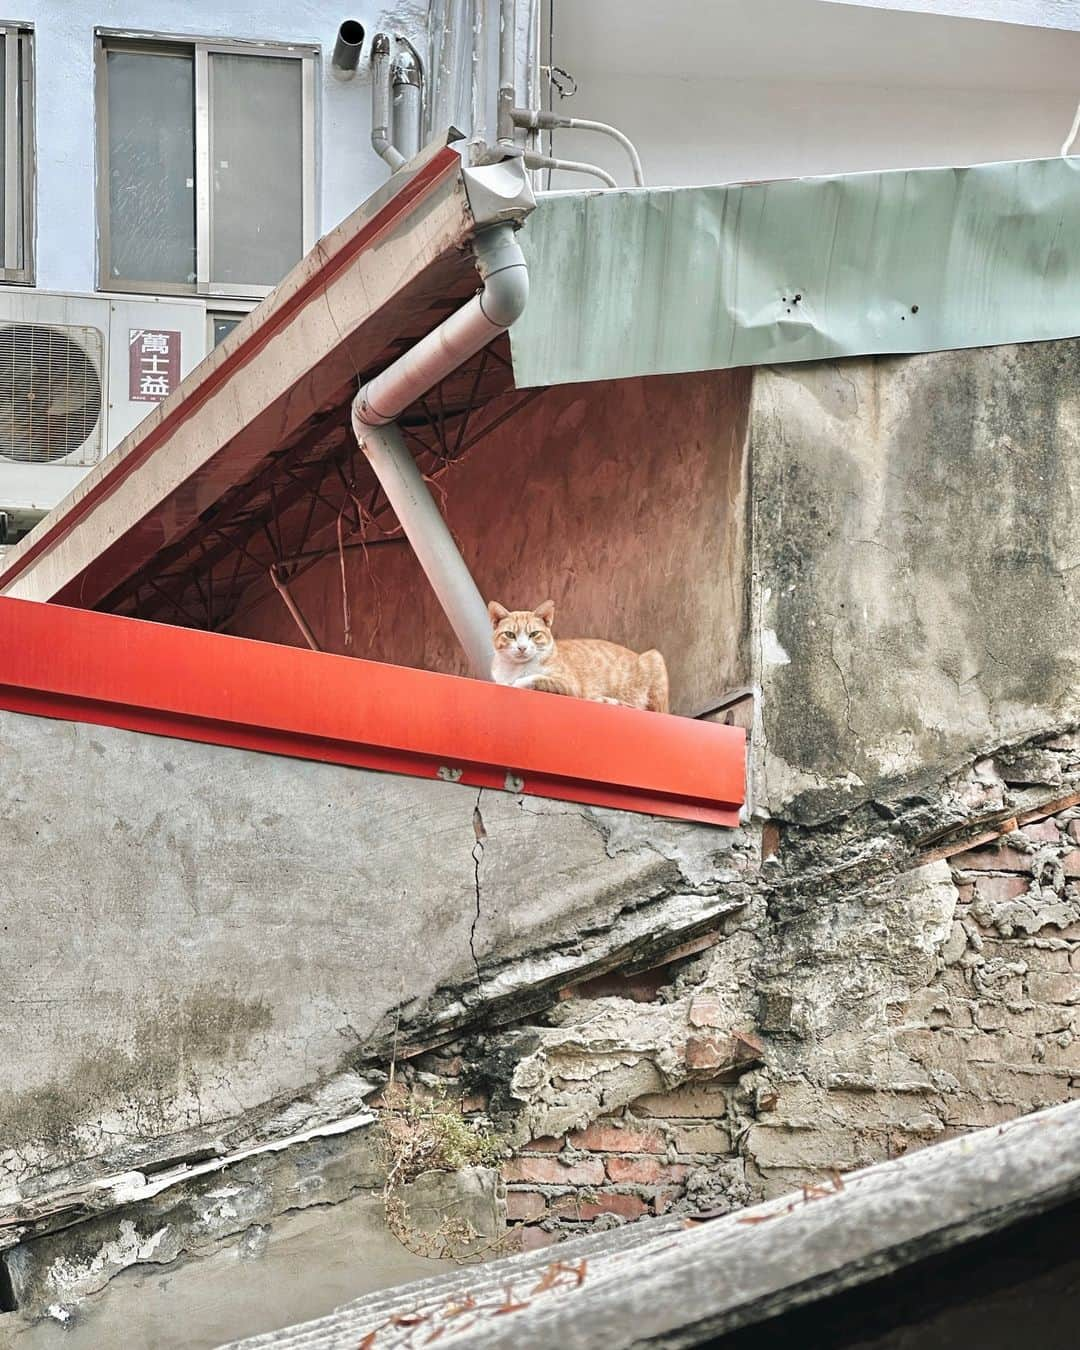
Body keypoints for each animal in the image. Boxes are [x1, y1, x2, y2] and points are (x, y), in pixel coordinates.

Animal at [488, 596, 666, 712]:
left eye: (534, 634)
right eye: (510, 634)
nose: (522, 648)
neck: (515, 668)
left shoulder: (569, 685)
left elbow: (534, 678)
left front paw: (516, 683)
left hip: (655, 658)